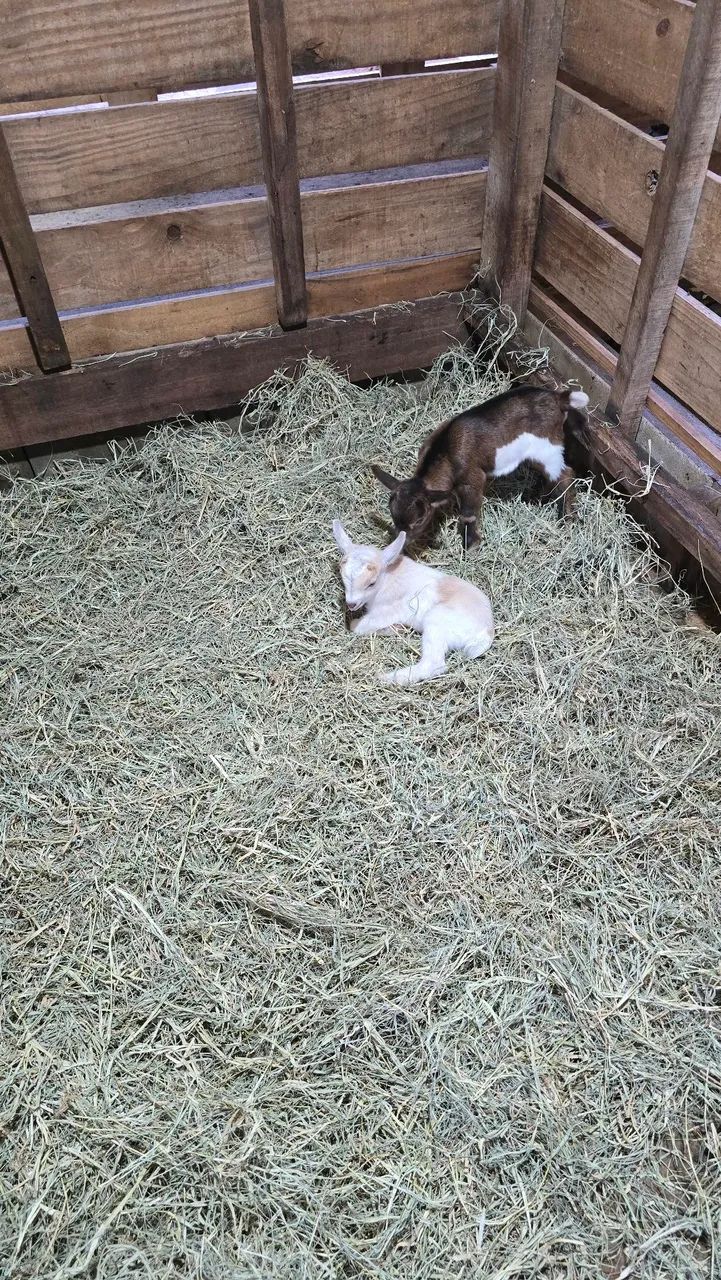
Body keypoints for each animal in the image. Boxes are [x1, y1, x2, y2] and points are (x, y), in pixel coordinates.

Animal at [332, 520, 494, 686]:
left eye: (372, 583)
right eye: (343, 577)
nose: (351, 604)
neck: (388, 578)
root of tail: (486, 632)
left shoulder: (390, 610)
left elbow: (357, 626)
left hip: (437, 621)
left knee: (434, 664)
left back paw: (388, 677)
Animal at [372, 384, 589, 549]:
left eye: (419, 520)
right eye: (393, 515)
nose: (401, 543)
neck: (445, 452)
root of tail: (559, 398)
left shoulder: (472, 477)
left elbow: (468, 514)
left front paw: (471, 545)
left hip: (547, 447)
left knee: (565, 474)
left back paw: (568, 519)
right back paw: (537, 498)